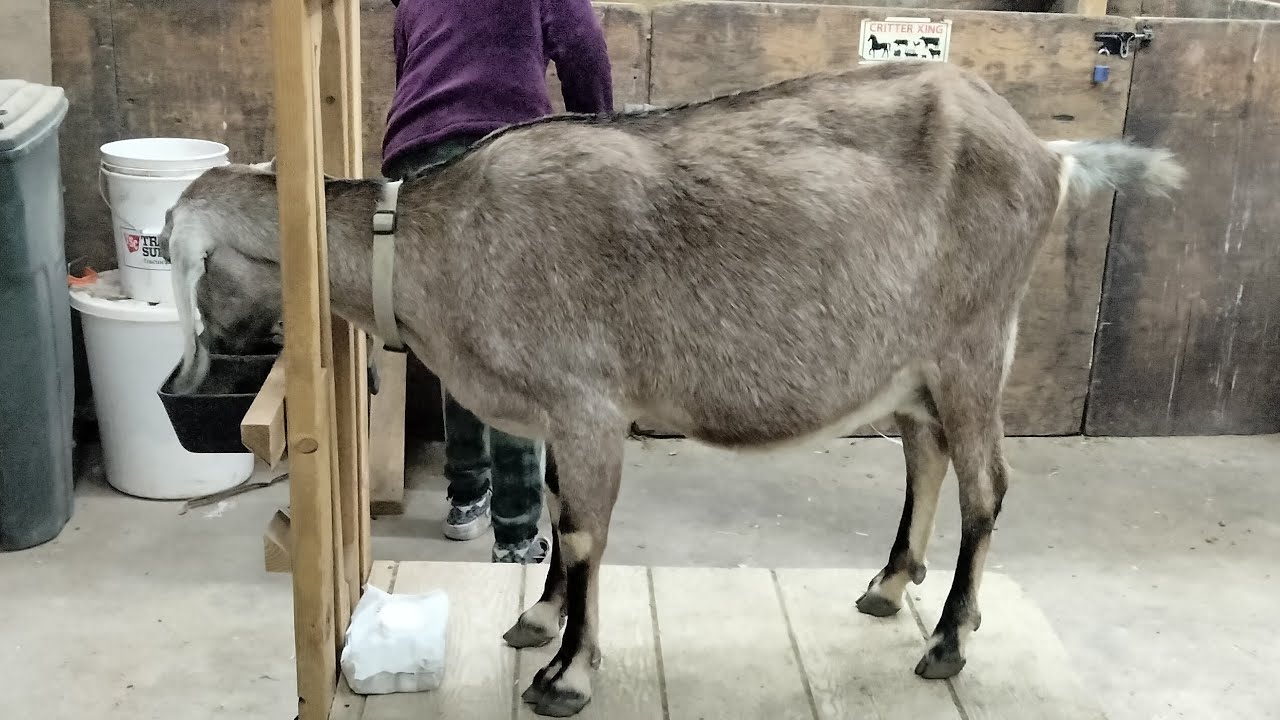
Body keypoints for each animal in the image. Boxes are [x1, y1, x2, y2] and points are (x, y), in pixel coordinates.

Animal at [161, 61, 1184, 717]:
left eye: (189, 269)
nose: (187, 382)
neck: (433, 242)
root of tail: (1049, 155)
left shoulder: (587, 403)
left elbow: (584, 532)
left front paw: (566, 677)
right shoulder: (564, 416)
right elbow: (563, 519)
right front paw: (539, 618)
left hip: (976, 341)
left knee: (987, 487)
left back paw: (948, 643)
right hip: (914, 360)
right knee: (926, 455)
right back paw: (892, 587)